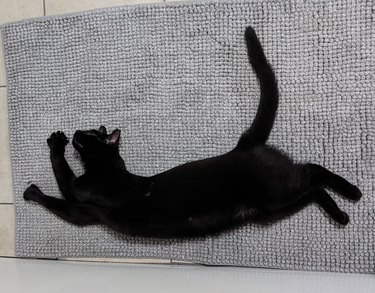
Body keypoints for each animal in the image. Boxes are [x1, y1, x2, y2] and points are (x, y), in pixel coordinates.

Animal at [22, 26, 362, 237]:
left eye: (91, 134)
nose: (77, 132)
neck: (108, 168)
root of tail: (242, 146)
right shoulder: (82, 212)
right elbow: (61, 202)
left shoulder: (78, 197)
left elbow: (60, 181)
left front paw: (42, 170)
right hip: (273, 207)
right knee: (313, 184)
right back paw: (344, 211)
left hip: (277, 192)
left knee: (312, 173)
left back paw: (351, 194)